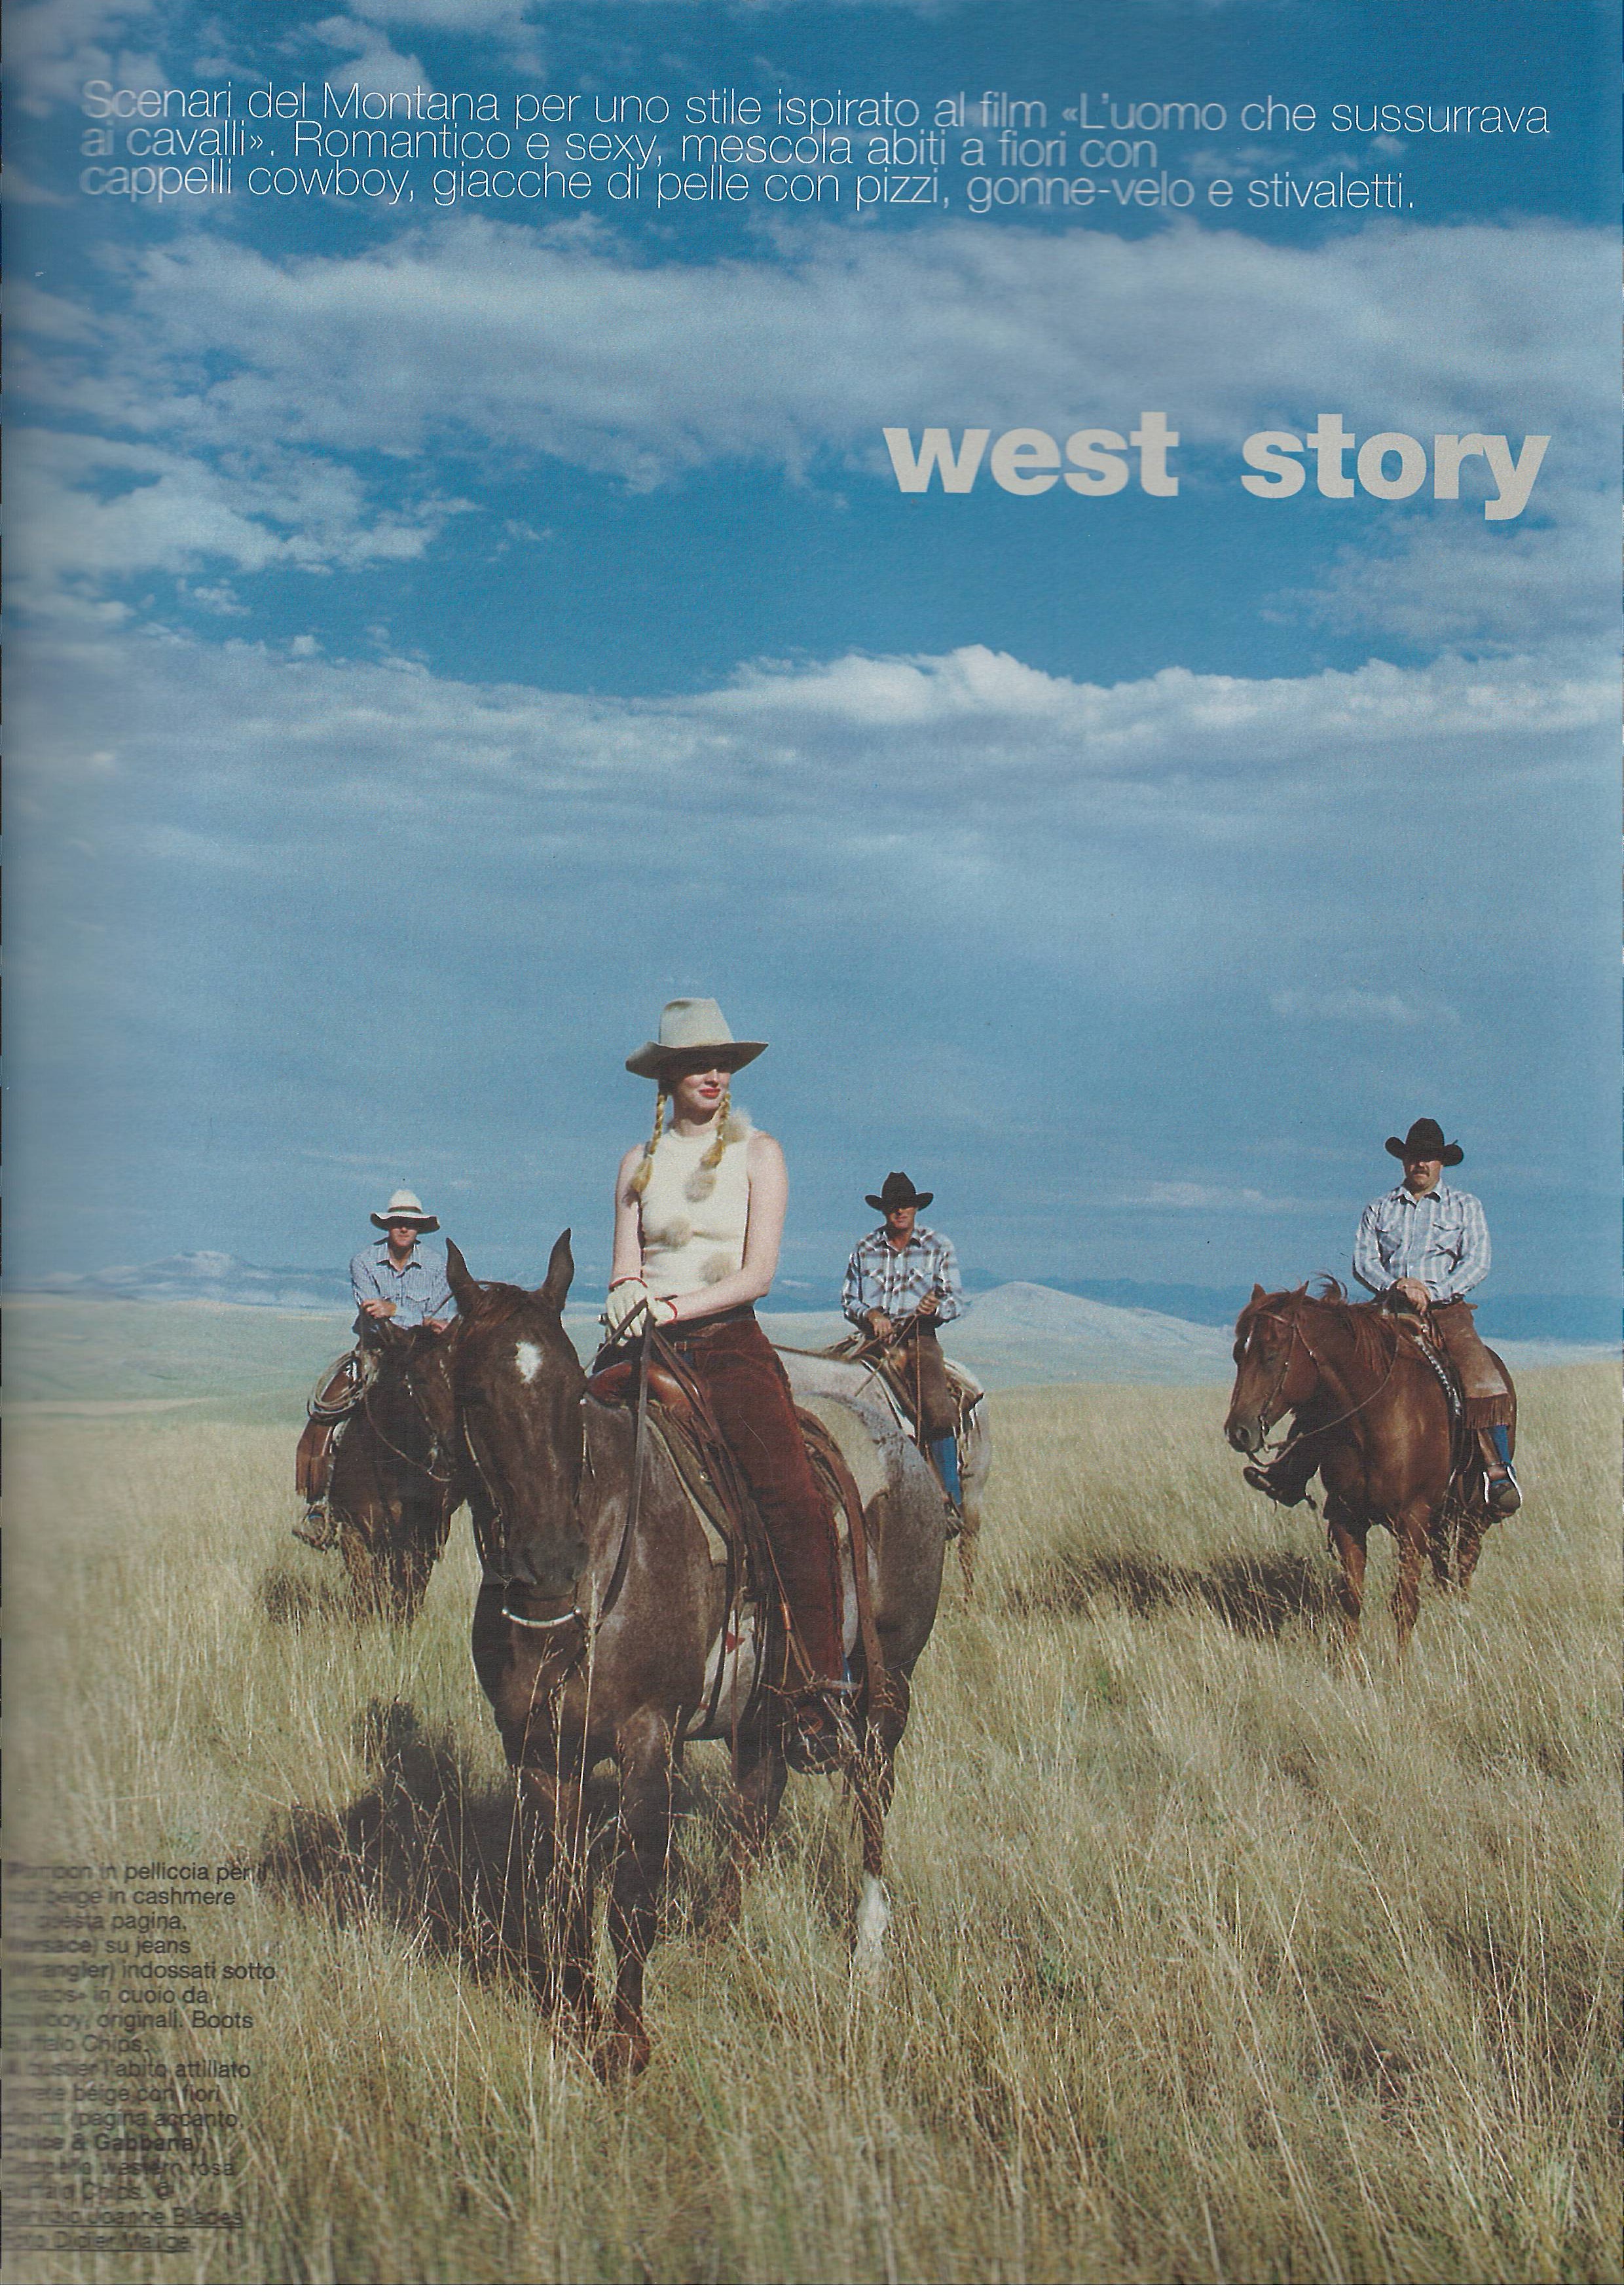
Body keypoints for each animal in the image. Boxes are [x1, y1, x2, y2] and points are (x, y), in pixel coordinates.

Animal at [325, 1321, 462, 1623]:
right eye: (420, 1379)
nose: (456, 1450)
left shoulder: (420, 1540)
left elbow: (408, 1598)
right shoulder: (355, 1534)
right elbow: (366, 1595)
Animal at [440, 1234, 947, 2078]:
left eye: (571, 1394)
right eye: (473, 1395)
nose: (550, 1563)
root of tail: (903, 1448)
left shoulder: (649, 1737)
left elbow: (631, 1895)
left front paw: (624, 2041)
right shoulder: (541, 1751)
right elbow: (564, 1891)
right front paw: (574, 2021)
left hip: (891, 1684)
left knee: (873, 1795)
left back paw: (868, 1952)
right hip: (765, 1709)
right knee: (755, 1804)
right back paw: (718, 1938)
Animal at [1224, 1281, 1516, 1654]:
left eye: (1272, 1355)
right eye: (1238, 1354)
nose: (1239, 1431)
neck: (1373, 1420)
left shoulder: (1413, 1520)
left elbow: (1405, 1603)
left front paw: (1401, 1664)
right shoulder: (1347, 1518)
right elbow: (1352, 1598)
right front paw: (1349, 1662)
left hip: (1473, 1513)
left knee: (1465, 1566)